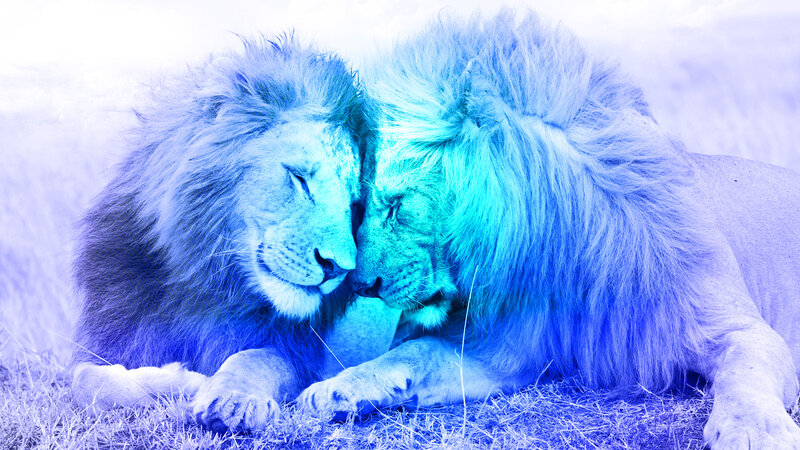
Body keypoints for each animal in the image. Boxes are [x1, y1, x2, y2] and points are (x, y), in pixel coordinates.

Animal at [71, 36, 383, 433]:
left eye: (354, 205)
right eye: (299, 178)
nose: (338, 268)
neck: (208, 284)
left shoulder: (295, 351)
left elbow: (253, 359)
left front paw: (231, 399)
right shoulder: (110, 338)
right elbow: (85, 380)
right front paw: (182, 382)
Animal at [298, 12, 800, 448]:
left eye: (398, 205)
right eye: (359, 208)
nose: (360, 285)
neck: (561, 251)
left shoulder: (737, 328)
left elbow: (745, 377)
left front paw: (753, 432)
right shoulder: (503, 350)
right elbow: (413, 354)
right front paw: (336, 389)